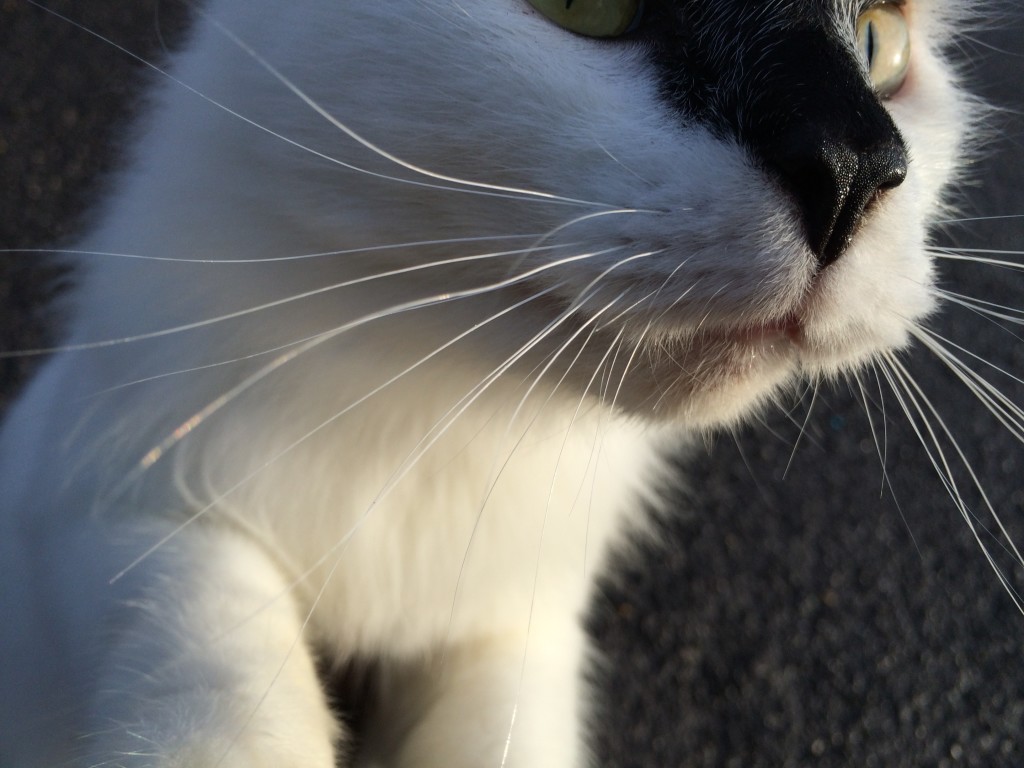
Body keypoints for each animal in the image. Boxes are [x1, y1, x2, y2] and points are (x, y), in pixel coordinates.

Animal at [0, 0, 1015, 765]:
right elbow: (218, 676)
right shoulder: (119, 504)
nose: (853, 172)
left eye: (879, 41)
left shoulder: (511, 627)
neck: (437, 428)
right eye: (584, 2)